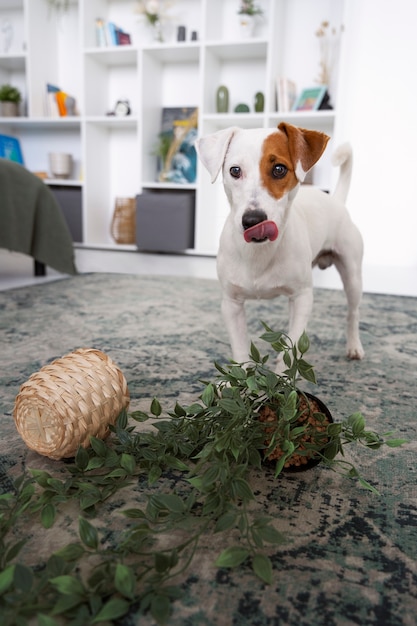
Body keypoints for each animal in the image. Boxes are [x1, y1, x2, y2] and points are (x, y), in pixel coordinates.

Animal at [197, 122, 362, 366]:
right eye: (235, 171)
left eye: (279, 169)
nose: (253, 220)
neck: (259, 251)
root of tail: (335, 201)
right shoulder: (231, 304)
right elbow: (241, 350)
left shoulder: (303, 297)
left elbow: (293, 346)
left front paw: (282, 374)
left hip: (352, 276)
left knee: (352, 313)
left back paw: (354, 346)